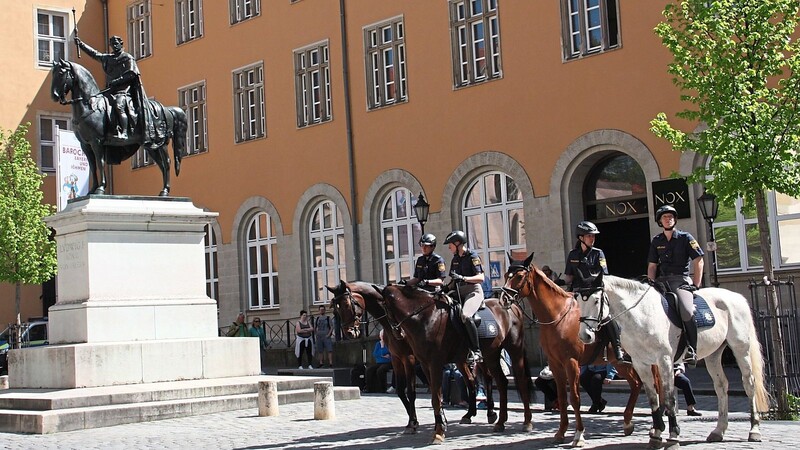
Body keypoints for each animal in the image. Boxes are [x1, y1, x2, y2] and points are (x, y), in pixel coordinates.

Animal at [50, 59, 187, 196]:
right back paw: (164, 191)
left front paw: (100, 188)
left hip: (161, 143)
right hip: (151, 147)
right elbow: (92, 166)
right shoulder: (85, 145)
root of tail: (167, 109)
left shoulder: (96, 142)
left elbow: (100, 163)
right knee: (161, 165)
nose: (54, 96)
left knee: (167, 162)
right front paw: (92, 190)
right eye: (53, 73)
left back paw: (165, 191)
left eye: (61, 73)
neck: (90, 104)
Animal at [326, 282, 422, 432]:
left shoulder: (409, 358)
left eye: (347, 304)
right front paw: (412, 420)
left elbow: (411, 391)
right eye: (336, 308)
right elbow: (401, 391)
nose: (348, 333)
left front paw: (413, 422)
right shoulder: (397, 359)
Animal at [376, 284, 532, 444]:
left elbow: (436, 398)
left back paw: (526, 422)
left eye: (385, 308)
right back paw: (500, 422)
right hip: (491, 355)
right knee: (501, 382)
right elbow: (436, 397)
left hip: (514, 349)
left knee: (520, 381)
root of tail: (511, 305)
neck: (425, 318)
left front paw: (438, 432)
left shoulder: (434, 363)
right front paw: (440, 426)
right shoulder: (425, 364)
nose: (397, 334)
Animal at [504, 253, 648, 446]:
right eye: (507, 275)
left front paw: (579, 434)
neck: (558, 316)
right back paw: (627, 422)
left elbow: (575, 398)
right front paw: (561, 432)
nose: (503, 298)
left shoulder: (571, 363)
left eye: (519, 276)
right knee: (636, 383)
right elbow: (562, 397)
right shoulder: (555, 363)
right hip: (619, 362)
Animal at [576, 272, 768, 448]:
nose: (585, 336)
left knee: (749, 384)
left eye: (595, 300)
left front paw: (673, 436)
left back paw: (754, 430)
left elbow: (668, 399)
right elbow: (653, 399)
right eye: (578, 300)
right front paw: (656, 435)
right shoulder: (641, 363)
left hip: (740, 349)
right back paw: (718, 431)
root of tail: (736, 297)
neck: (642, 315)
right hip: (713, 354)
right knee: (721, 386)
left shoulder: (665, 361)